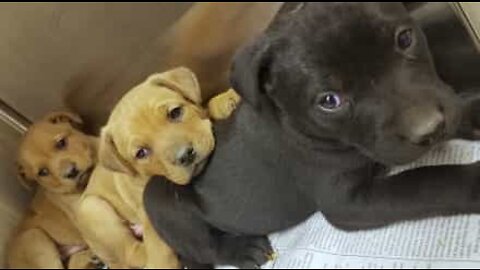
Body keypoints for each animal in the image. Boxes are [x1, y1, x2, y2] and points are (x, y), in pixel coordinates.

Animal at [77, 67, 242, 268]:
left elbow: (203, 107)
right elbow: (157, 247)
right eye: (141, 153)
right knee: (133, 254)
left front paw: (224, 101)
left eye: (175, 112)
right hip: (92, 209)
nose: (185, 155)